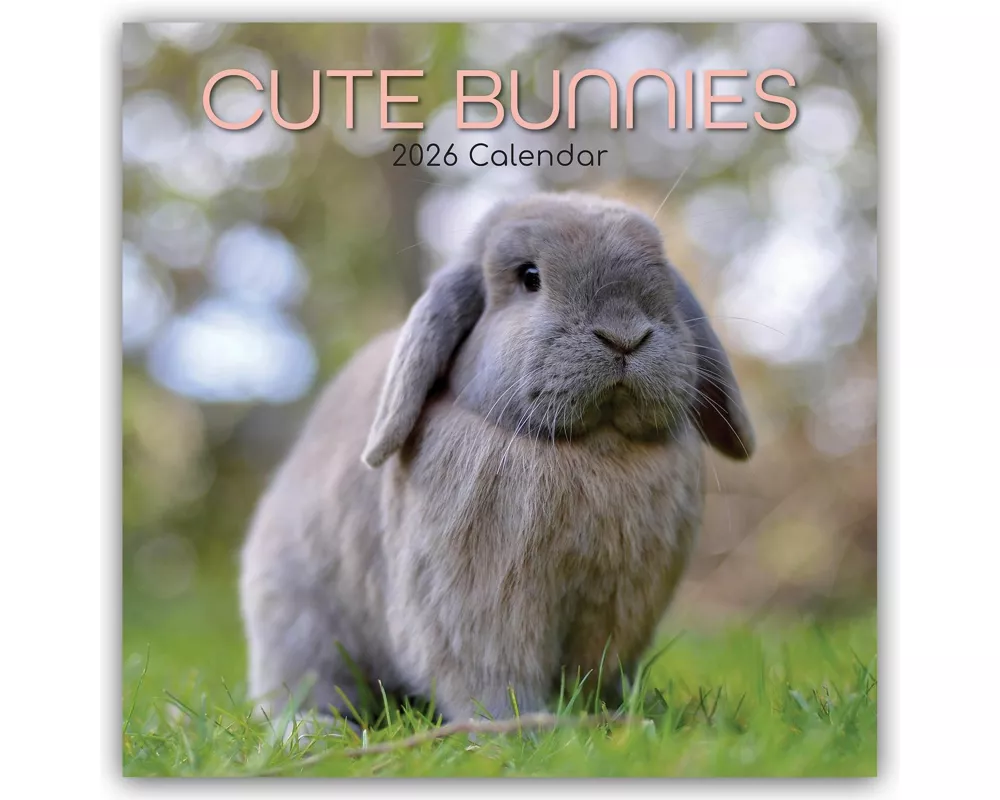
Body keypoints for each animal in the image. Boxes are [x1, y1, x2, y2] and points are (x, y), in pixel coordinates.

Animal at [239, 191, 755, 731]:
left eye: (663, 274)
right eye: (529, 276)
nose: (624, 335)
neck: (595, 448)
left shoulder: (618, 612)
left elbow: (598, 671)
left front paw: (610, 714)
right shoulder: (478, 608)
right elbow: (491, 676)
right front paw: (523, 728)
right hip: (299, 620)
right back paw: (312, 730)